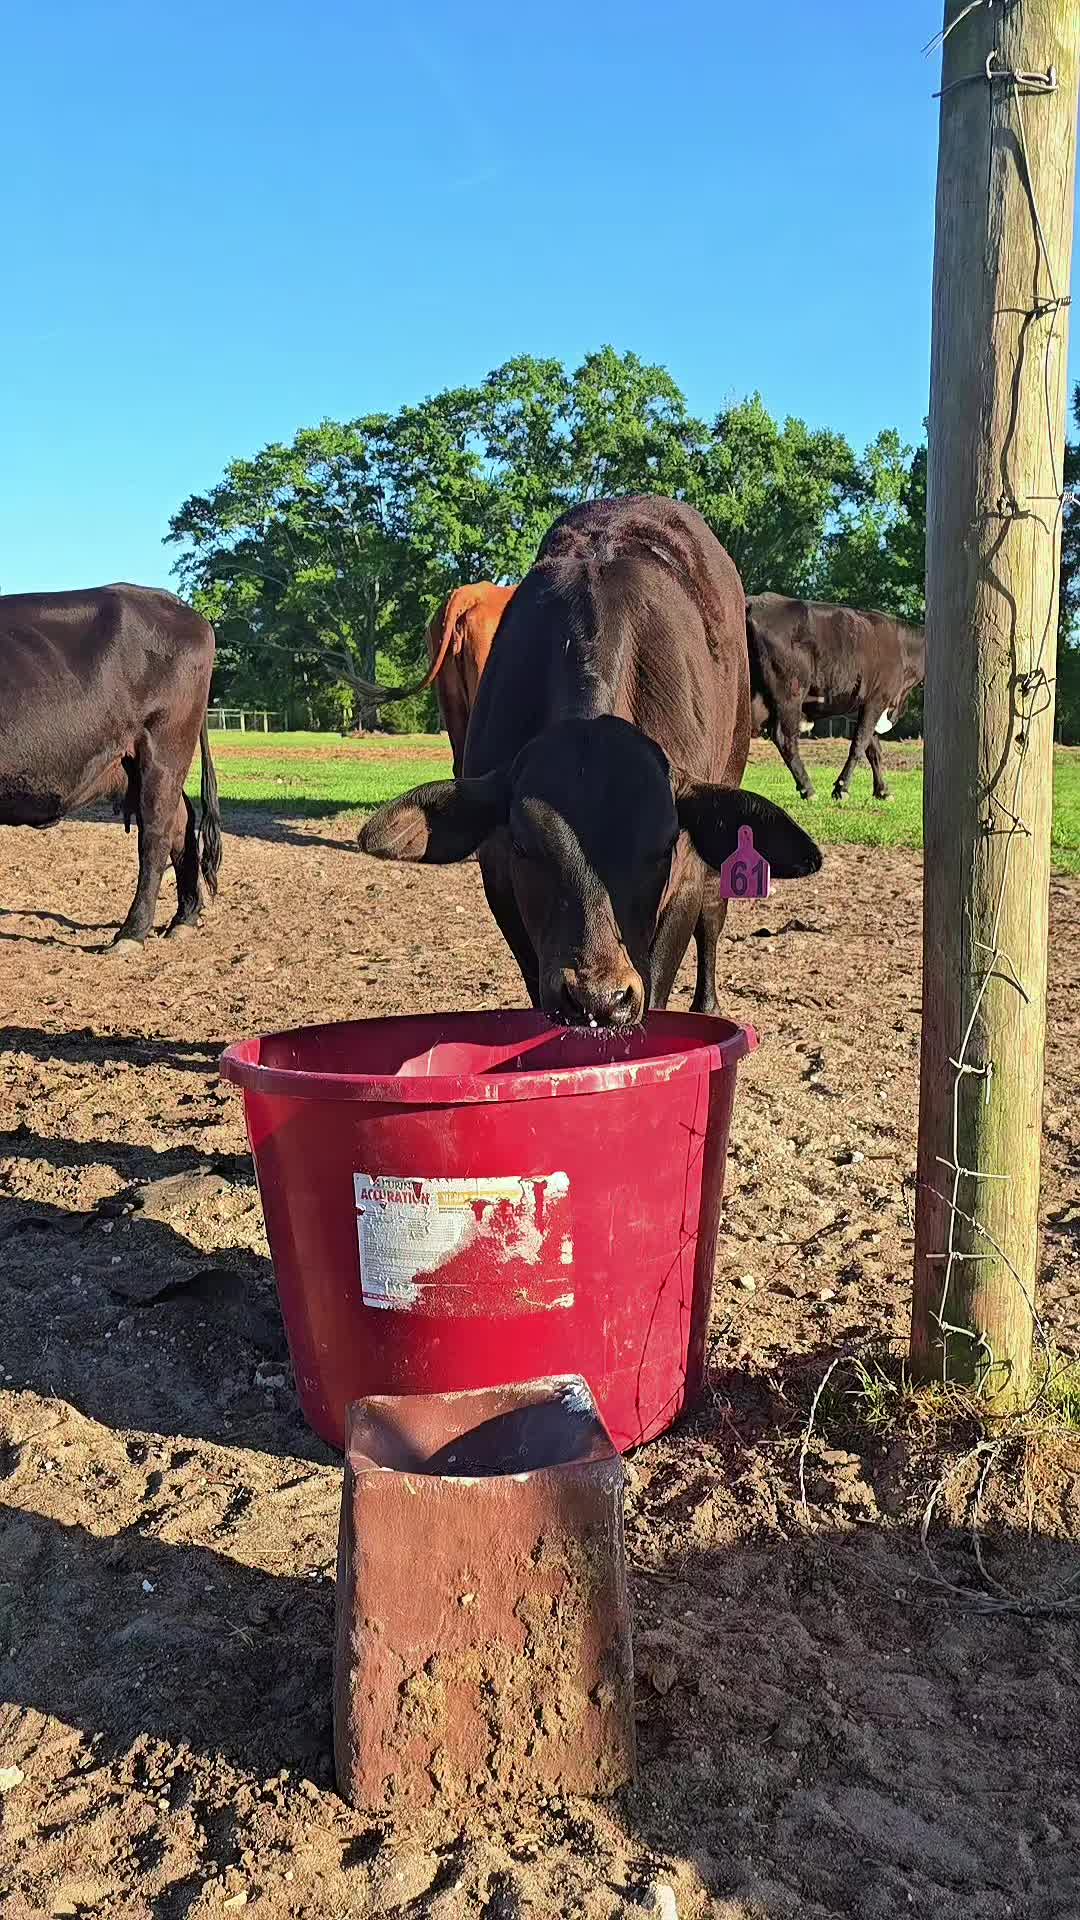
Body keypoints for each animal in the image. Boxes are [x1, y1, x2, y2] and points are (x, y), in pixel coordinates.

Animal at [0, 584, 222, 950]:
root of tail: (172, 602)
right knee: (180, 823)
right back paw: (184, 918)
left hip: (164, 747)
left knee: (155, 835)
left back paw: (131, 933)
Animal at [359, 496, 822, 1027]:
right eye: (524, 846)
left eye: (662, 847)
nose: (598, 996)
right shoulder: (501, 882)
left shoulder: (682, 880)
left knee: (714, 910)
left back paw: (707, 1002)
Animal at [746, 593, 926, 804]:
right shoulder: (876, 699)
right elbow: (859, 744)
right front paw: (842, 788)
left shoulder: (865, 706)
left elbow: (873, 749)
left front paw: (882, 791)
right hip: (790, 694)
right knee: (784, 738)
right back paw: (809, 790)